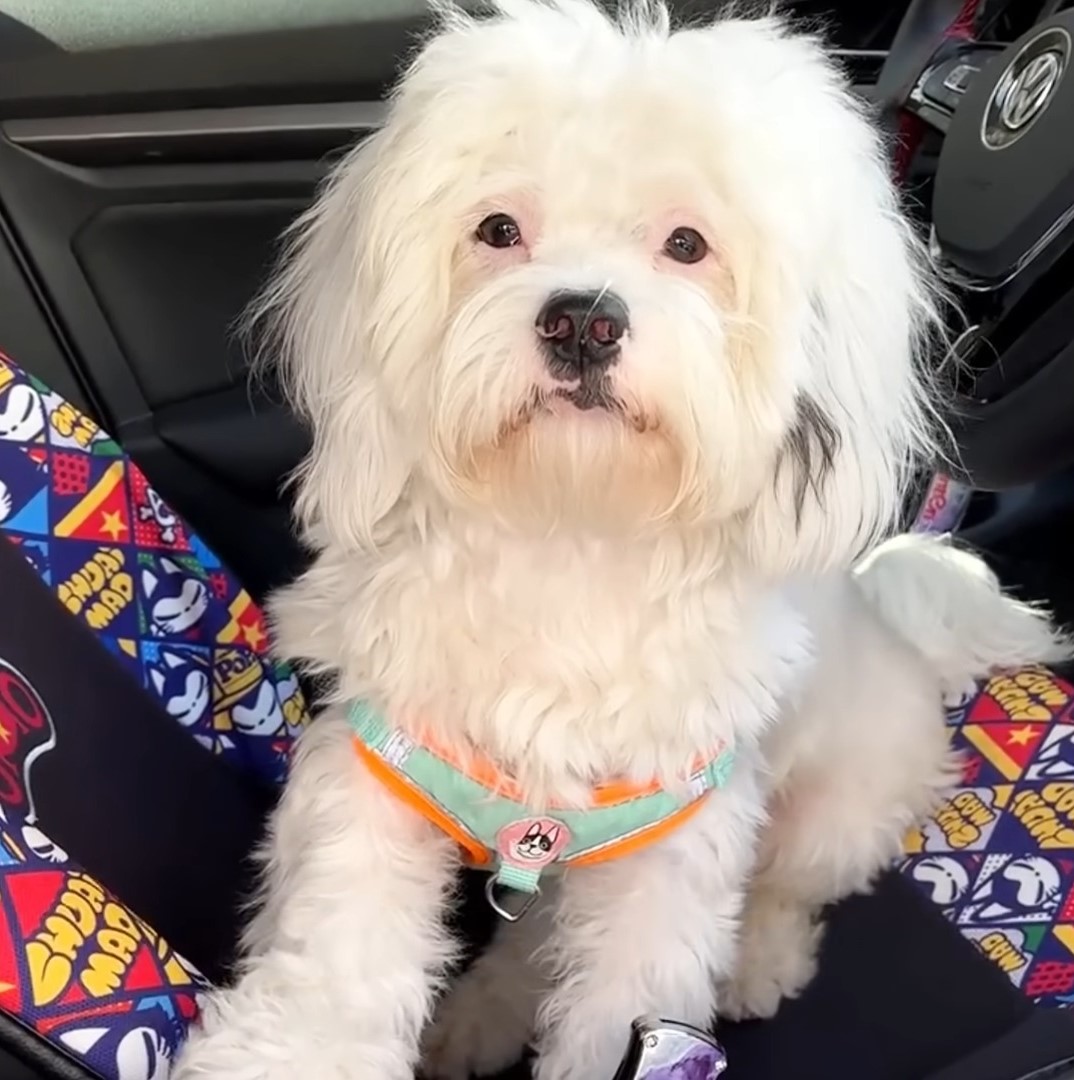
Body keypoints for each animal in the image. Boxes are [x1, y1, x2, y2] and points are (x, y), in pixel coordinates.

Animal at [173, 6, 1063, 1080]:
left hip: (836, 808)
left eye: (687, 243)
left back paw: (755, 962)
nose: (582, 322)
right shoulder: (378, 770)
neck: (572, 529)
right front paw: (284, 1051)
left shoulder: (671, 848)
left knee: (785, 890)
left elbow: (629, 1000)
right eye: (498, 229)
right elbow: (337, 951)